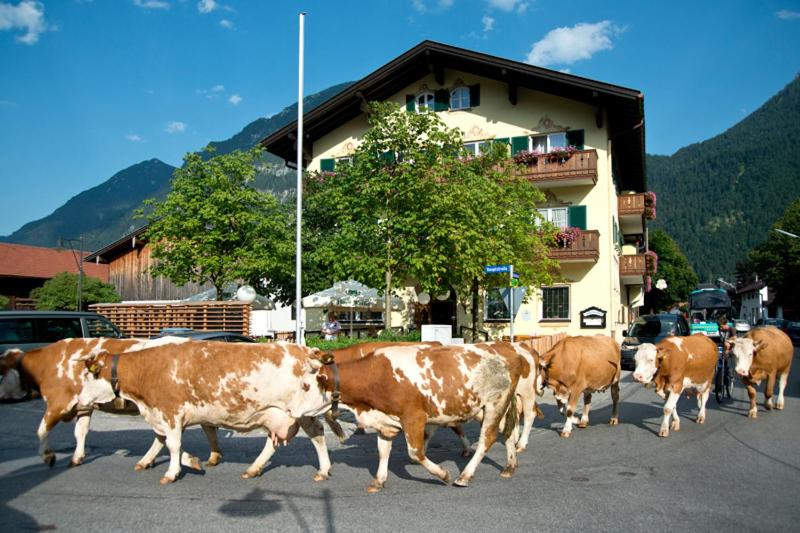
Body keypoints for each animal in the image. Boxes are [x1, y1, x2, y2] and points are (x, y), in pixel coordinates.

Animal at [0, 336, 219, 470]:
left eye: (0, 372)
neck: (47, 364)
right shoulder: (84, 406)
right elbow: (80, 432)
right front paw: (77, 457)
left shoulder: (58, 403)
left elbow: (41, 430)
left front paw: (48, 456)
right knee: (196, 429)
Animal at [79, 340, 330, 482]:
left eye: (89, 376)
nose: (79, 399)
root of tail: (304, 350)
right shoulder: (162, 414)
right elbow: (164, 441)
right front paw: (188, 461)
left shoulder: (170, 411)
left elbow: (173, 444)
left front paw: (172, 472)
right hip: (276, 414)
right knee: (274, 440)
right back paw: (254, 468)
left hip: (302, 411)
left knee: (317, 434)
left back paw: (323, 470)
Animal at [286, 340, 524, 490]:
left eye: (305, 386)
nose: (288, 409)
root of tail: (505, 348)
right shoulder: (385, 421)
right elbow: (383, 451)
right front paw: (379, 480)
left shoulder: (414, 417)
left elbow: (416, 453)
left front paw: (442, 474)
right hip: (485, 408)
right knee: (507, 431)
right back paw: (509, 466)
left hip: (494, 404)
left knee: (487, 438)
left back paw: (464, 476)